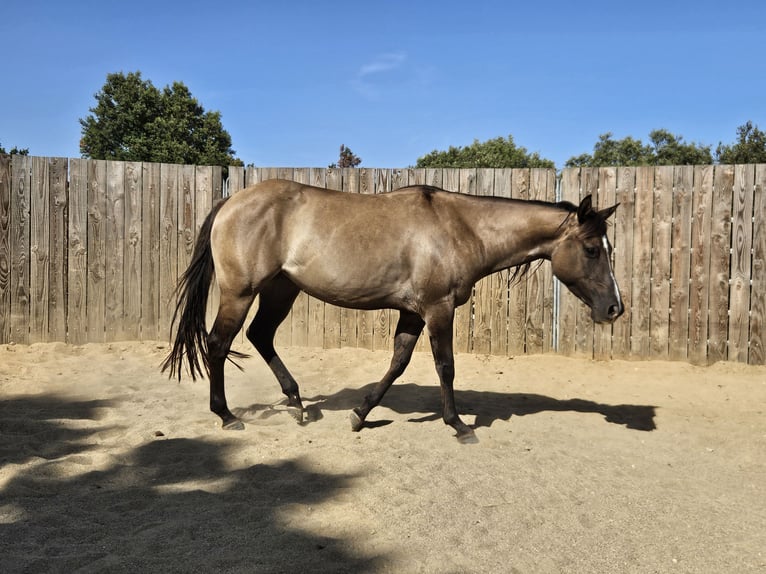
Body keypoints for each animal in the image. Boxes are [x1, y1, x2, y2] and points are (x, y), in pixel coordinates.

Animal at [162, 179, 623, 443]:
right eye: (591, 248)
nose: (615, 308)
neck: (461, 227)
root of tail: (230, 201)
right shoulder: (438, 309)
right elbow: (445, 366)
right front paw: (458, 425)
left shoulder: (414, 312)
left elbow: (398, 363)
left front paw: (359, 415)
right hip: (241, 292)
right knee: (218, 343)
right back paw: (226, 416)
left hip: (281, 289)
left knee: (260, 336)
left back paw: (296, 402)